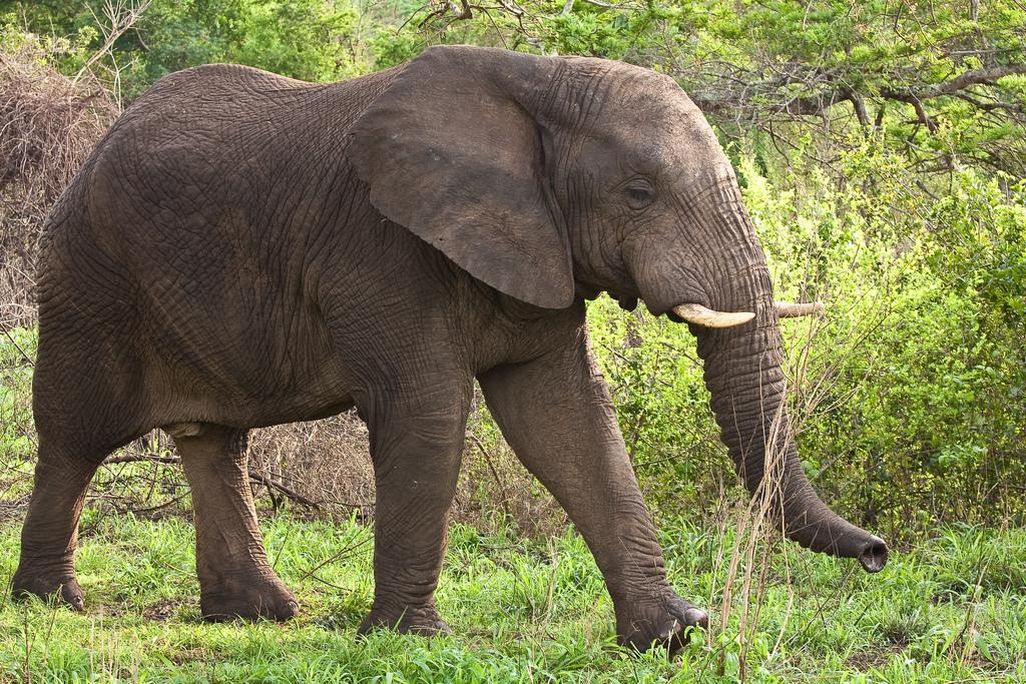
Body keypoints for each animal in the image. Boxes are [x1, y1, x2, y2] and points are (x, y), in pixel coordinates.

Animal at [12, 44, 887, 652]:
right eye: (639, 194)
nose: (879, 554)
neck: (540, 84)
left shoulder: (540, 249)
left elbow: (568, 421)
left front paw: (671, 635)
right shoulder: (382, 250)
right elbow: (428, 415)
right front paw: (411, 640)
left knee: (213, 440)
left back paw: (256, 615)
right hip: (87, 279)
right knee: (74, 434)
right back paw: (50, 601)